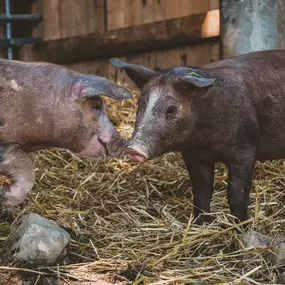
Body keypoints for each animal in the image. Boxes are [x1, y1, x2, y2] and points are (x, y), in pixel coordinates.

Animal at [110, 50, 285, 224]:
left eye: (171, 109)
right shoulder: (194, 156)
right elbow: (202, 191)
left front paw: (241, 225)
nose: (133, 149)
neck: (205, 141)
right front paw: (202, 223)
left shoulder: (245, 149)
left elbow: (237, 193)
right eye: (140, 104)